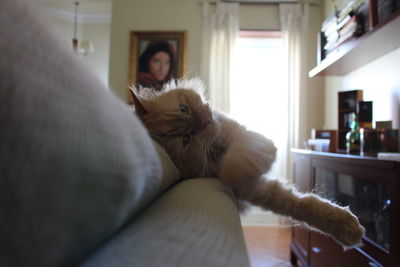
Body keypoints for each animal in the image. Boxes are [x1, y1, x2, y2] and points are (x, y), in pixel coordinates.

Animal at [132, 79, 366, 249]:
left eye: (184, 109)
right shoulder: (254, 188)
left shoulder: (250, 139)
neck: (219, 150)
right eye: (186, 139)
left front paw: (347, 226)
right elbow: (299, 205)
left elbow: (306, 204)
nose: (204, 122)